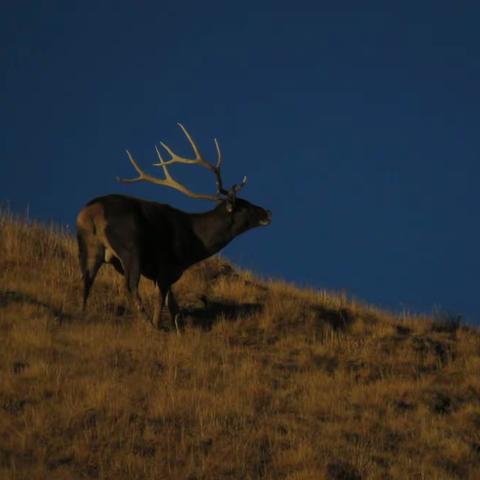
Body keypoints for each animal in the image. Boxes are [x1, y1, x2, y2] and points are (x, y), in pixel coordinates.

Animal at [75, 124, 270, 330]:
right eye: (244, 206)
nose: (268, 213)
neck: (194, 244)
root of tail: (91, 211)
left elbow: (174, 306)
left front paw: (178, 328)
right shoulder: (166, 267)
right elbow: (162, 301)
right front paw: (157, 324)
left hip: (88, 246)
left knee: (86, 279)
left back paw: (83, 313)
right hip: (130, 247)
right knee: (130, 285)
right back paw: (146, 322)